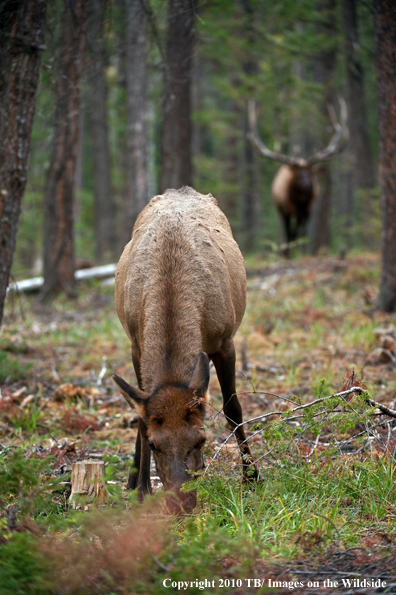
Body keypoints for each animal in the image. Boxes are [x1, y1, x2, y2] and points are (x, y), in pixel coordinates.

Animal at [113, 189, 258, 516]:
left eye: (201, 440)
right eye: (155, 444)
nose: (181, 503)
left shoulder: (224, 341)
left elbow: (233, 409)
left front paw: (251, 475)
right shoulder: (136, 345)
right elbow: (141, 418)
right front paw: (142, 489)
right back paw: (131, 480)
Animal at [249, 99, 348, 256]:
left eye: (311, 173)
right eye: (298, 175)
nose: (309, 187)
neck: (299, 201)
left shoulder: (308, 210)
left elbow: (303, 233)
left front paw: (301, 252)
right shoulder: (286, 209)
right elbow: (290, 233)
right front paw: (289, 254)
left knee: (297, 230)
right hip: (280, 209)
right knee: (289, 231)